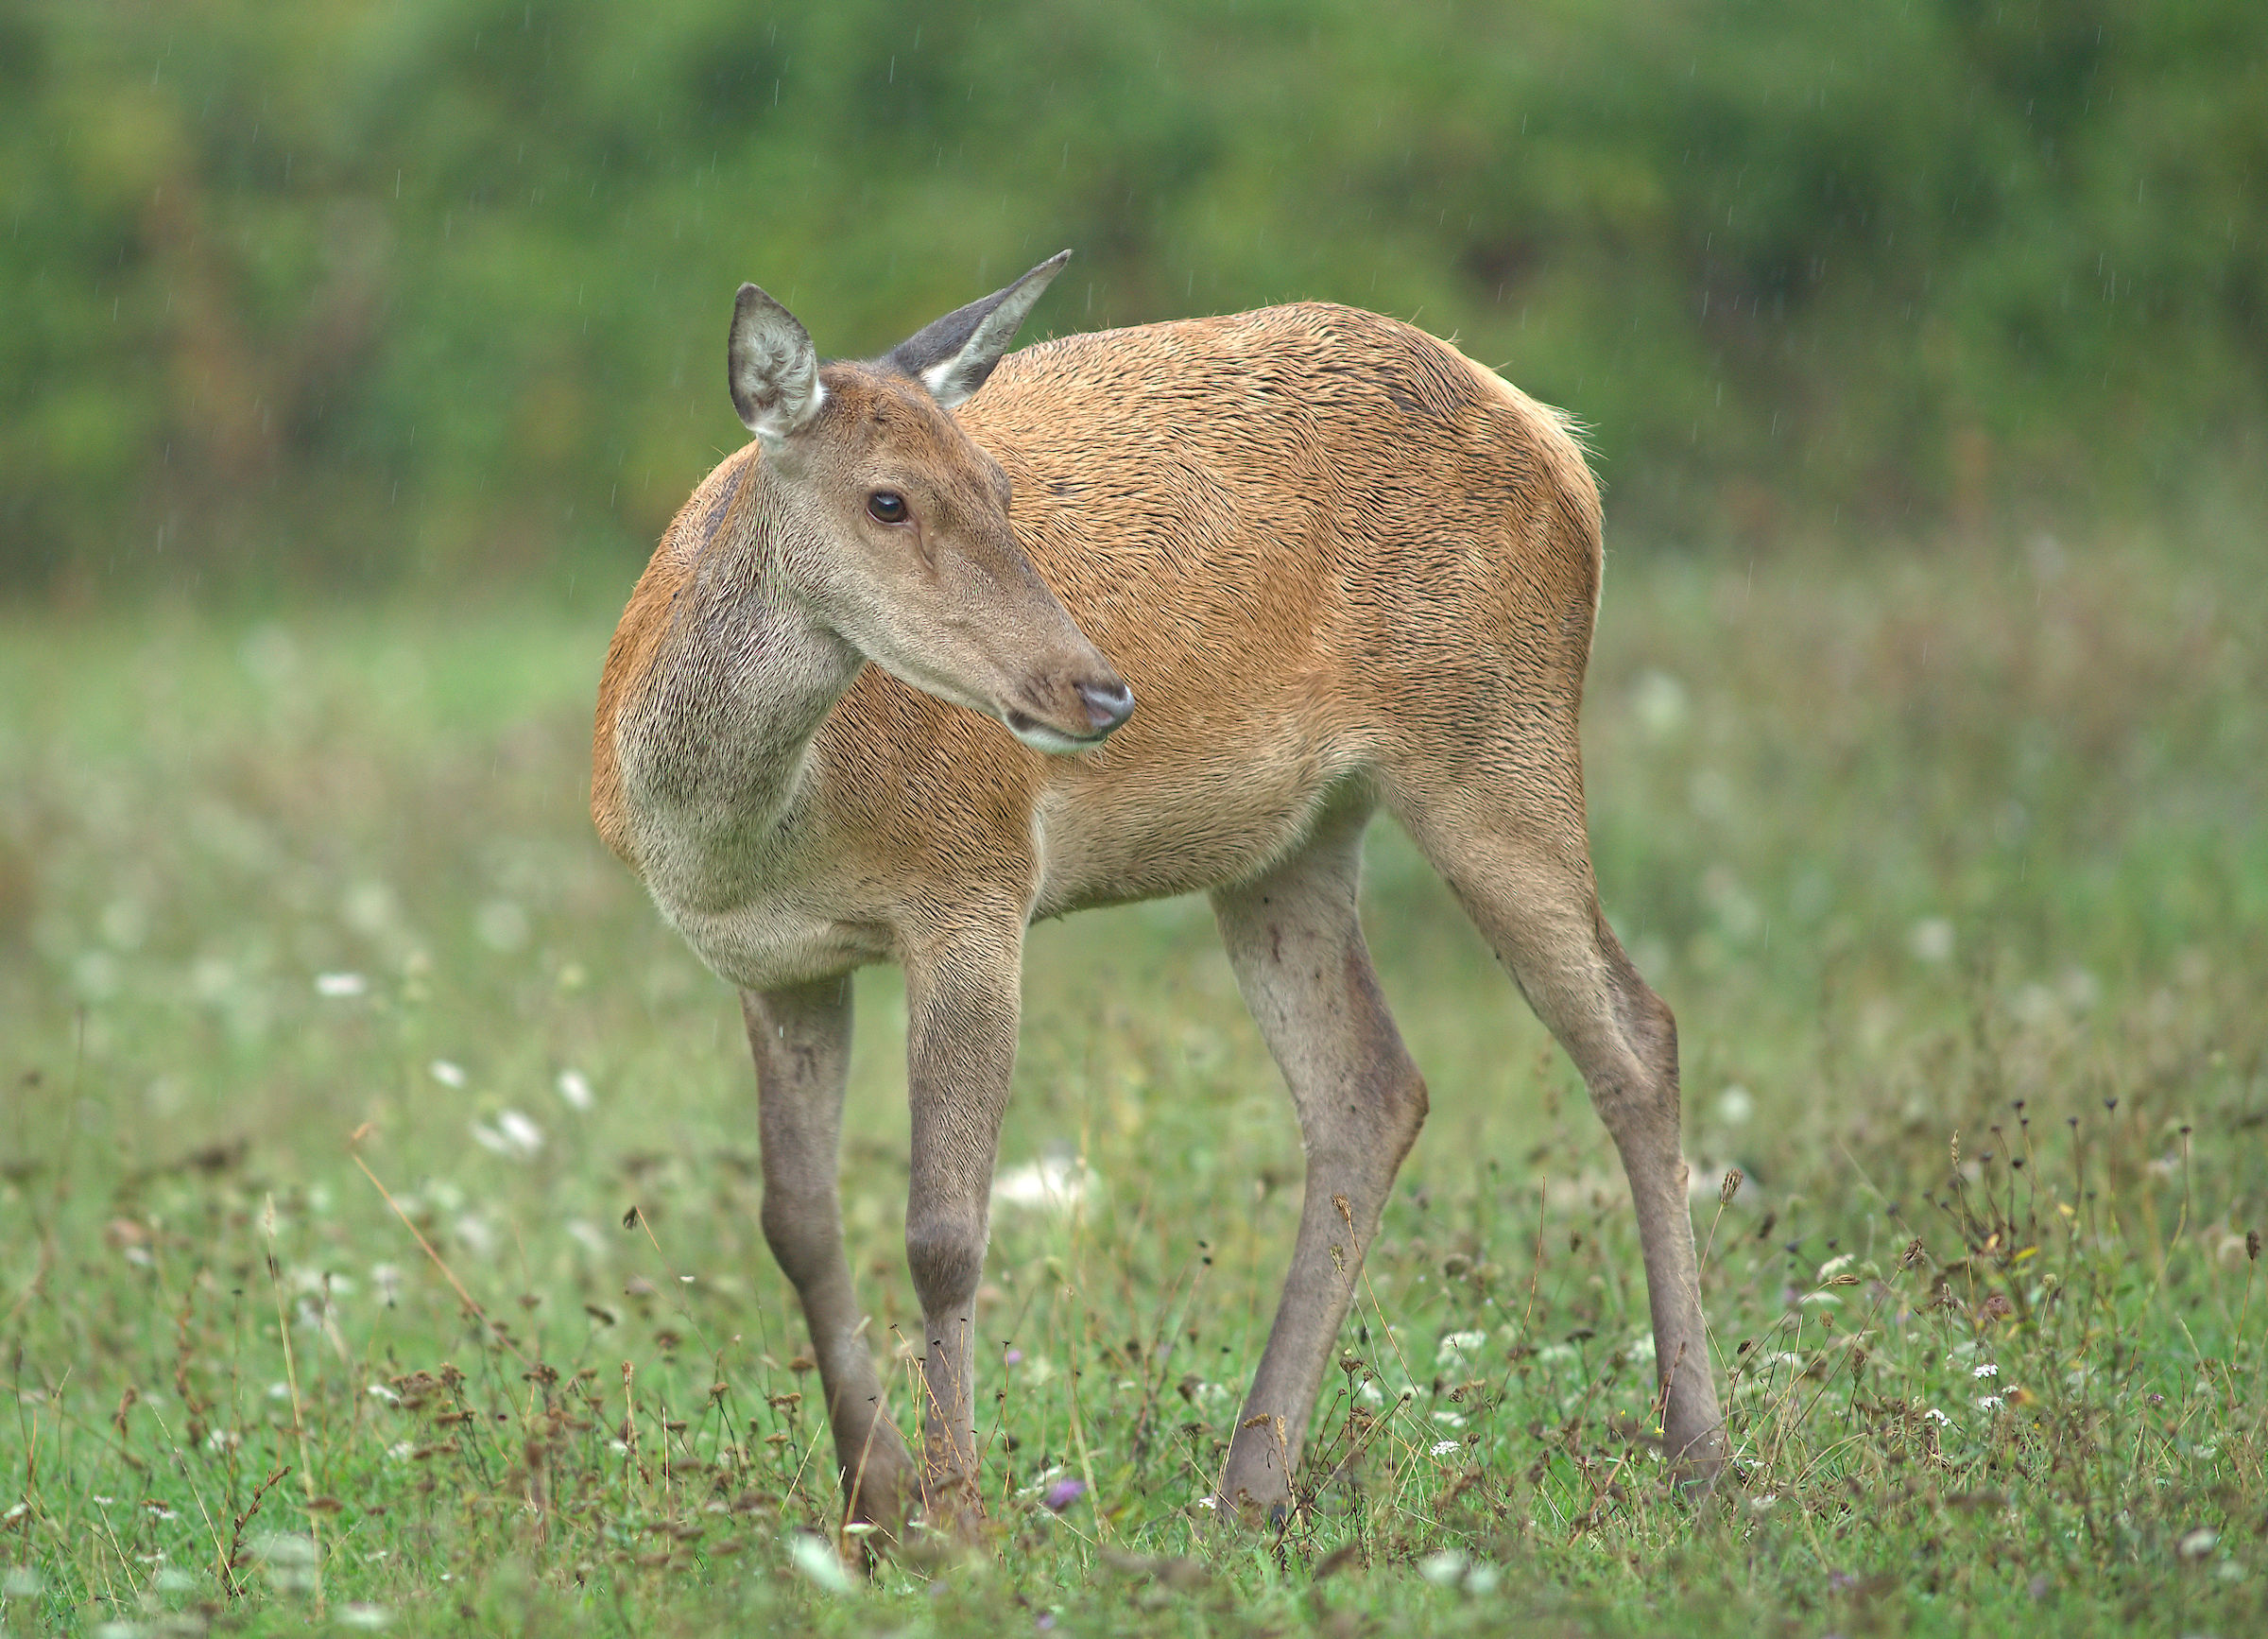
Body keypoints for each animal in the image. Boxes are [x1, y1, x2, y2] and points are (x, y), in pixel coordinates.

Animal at [591, 250, 1729, 1545]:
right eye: (887, 501)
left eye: (999, 486)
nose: (1096, 689)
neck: (746, 838)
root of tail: (1558, 441)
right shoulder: (775, 964)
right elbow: (797, 1224)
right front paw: (870, 1505)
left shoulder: (972, 885)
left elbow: (944, 1234)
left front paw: (958, 1520)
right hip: (1288, 843)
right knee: (1371, 1088)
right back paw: (1252, 1482)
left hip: (1496, 735)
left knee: (1635, 1035)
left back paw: (1698, 1452)